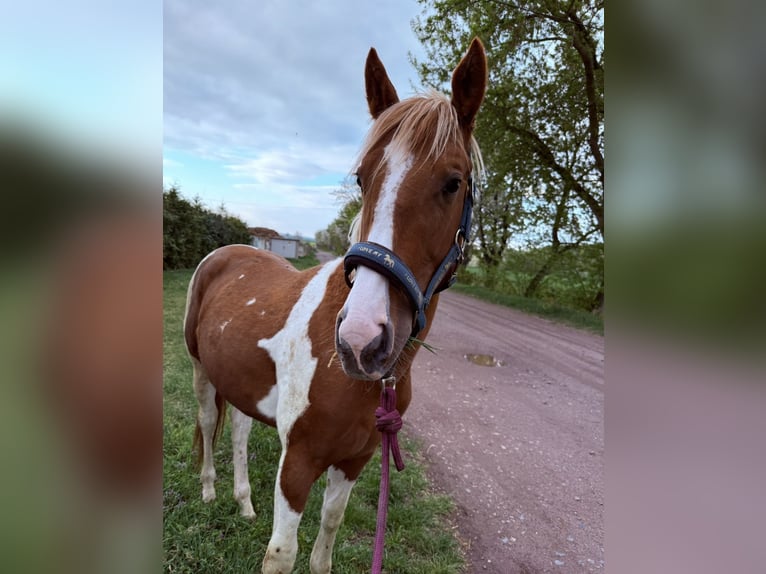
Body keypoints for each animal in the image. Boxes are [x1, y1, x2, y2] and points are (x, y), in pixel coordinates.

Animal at [183, 38, 487, 574]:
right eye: (363, 179)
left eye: (453, 182)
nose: (361, 340)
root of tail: (226, 251)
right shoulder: (298, 462)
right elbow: (282, 553)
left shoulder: (354, 461)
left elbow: (327, 536)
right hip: (200, 370)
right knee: (206, 423)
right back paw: (209, 493)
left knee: (238, 429)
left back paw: (243, 502)